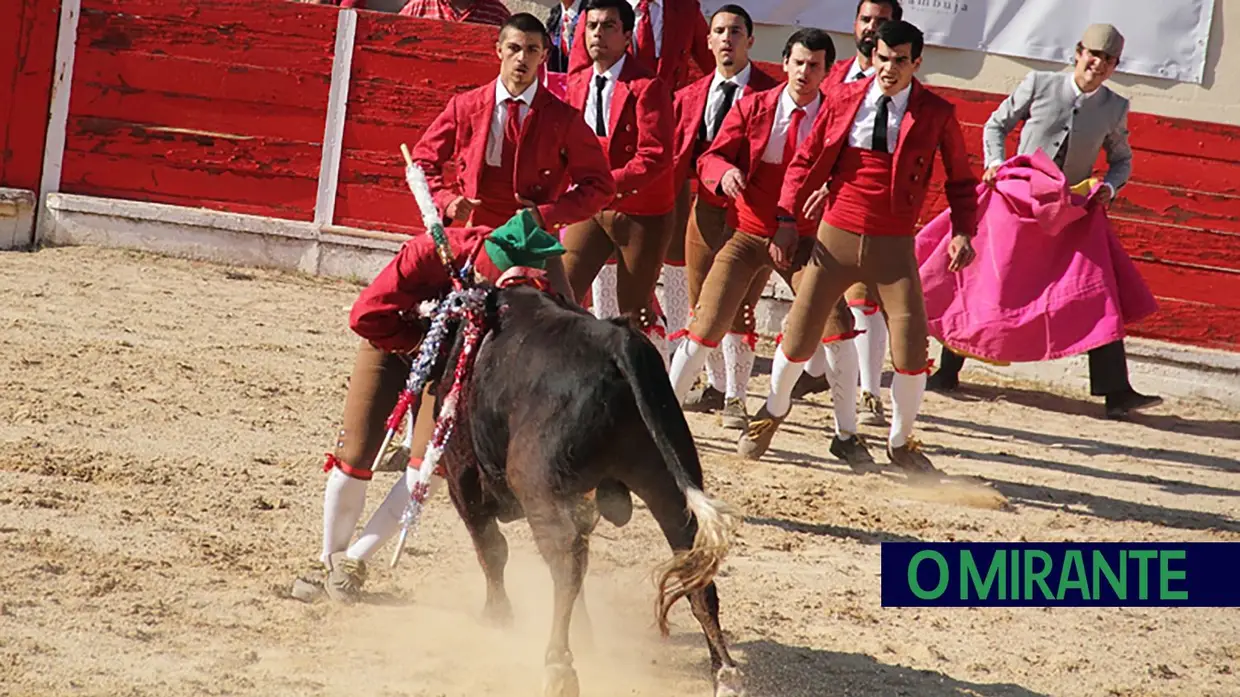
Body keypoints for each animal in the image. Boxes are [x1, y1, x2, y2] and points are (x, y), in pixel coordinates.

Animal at [434, 282, 744, 694]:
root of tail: (618, 344)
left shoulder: (463, 478)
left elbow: (492, 549)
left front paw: (498, 615)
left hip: (538, 489)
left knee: (565, 562)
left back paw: (558, 666)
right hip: (666, 480)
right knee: (694, 570)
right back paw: (725, 674)